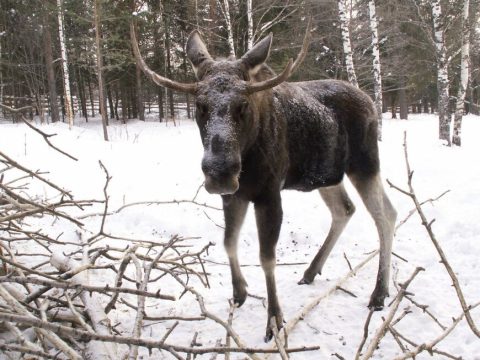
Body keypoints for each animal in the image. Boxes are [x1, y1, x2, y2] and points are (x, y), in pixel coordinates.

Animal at [131, 21, 398, 342]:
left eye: (243, 105)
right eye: (200, 105)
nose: (220, 173)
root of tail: (371, 101)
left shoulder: (269, 194)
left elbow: (266, 257)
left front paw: (274, 319)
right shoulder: (235, 195)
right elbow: (228, 241)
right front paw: (239, 291)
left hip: (364, 164)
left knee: (385, 215)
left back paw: (379, 293)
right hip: (327, 175)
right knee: (345, 209)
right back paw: (312, 271)